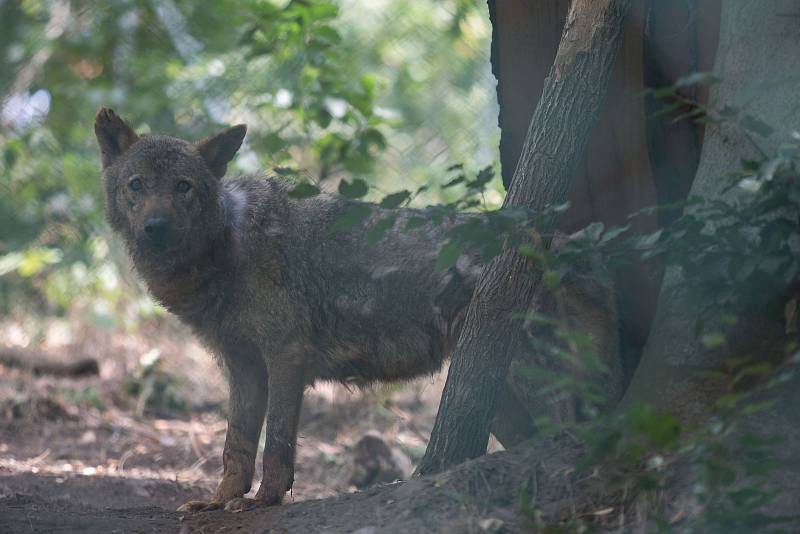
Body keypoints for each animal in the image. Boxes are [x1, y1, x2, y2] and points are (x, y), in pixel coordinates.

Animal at [94, 109, 620, 516]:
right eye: (137, 185)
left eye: (183, 187)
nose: (155, 227)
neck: (228, 244)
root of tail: (571, 245)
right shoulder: (243, 367)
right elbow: (236, 445)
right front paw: (219, 501)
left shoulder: (286, 356)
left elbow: (278, 443)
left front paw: (263, 502)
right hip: (497, 395)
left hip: (532, 378)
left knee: (573, 432)